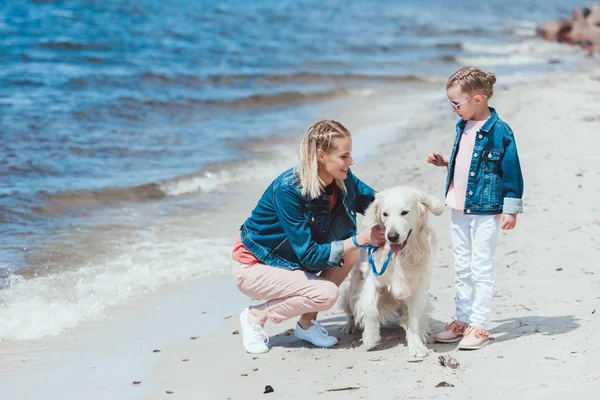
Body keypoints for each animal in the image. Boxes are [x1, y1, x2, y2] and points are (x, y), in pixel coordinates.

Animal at [340, 186, 442, 358]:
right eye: (385, 214)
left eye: (404, 212)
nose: (392, 236)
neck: (400, 255)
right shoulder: (372, 281)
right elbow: (370, 309)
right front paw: (370, 338)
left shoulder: (417, 289)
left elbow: (414, 319)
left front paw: (416, 346)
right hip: (349, 289)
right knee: (351, 309)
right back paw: (351, 325)